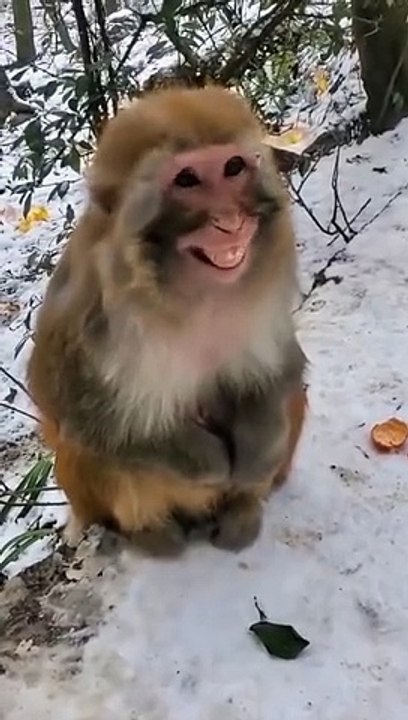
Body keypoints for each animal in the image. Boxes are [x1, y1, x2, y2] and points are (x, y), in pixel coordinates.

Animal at [27, 85, 308, 554]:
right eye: (187, 180)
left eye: (233, 167)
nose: (229, 221)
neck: (191, 295)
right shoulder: (87, 302)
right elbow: (68, 404)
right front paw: (205, 459)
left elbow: (278, 367)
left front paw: (258, 447)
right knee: (93, 452)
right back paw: (153, 534)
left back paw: (242, 509)